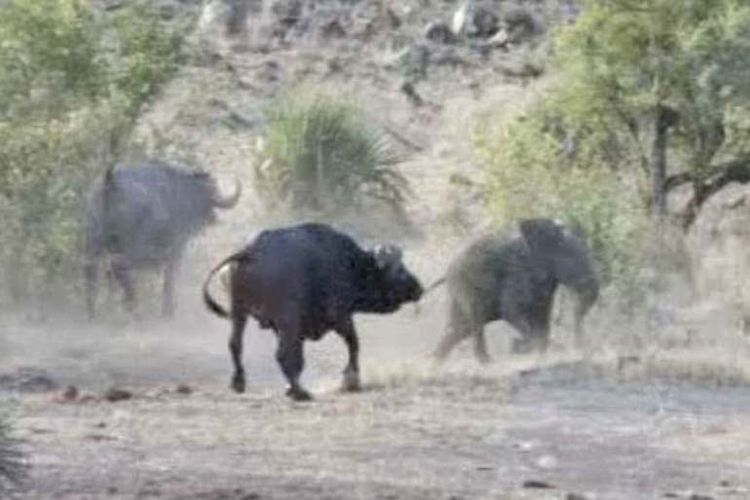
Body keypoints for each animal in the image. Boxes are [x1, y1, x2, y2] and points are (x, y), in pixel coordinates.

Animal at [86, 161, 242, 316]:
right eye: (211, 190)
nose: (212, 218)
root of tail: (112, 182)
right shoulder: (176, 248)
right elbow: (170, 277)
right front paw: (168, 310)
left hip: (94, 242)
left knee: (92, 271)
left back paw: (94, 311)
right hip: (135, 246)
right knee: (119, 266)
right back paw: (133, 307)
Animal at [203, 225, 426, 400]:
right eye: (400, 270)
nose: (419, 288)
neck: (351, 264)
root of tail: (250, 252)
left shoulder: (288, 329)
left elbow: (300, 357)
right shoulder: (340, 316)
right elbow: (354, 344)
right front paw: (351, 380)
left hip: (239, 312)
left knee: (235, 345)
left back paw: (240, 382)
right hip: (287, 318)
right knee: (281, 354)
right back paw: (300, 392)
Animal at [432, 217, 604, 362]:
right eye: (570, 257)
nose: (579, 346)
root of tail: (448, 272)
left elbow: (542, 316)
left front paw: (537, 354)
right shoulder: (518, 272)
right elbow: (511, 310)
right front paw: (518, 347)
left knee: (459, 329)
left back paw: (436, 362)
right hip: (467, 285)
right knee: (475, 321)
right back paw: (486, 362)